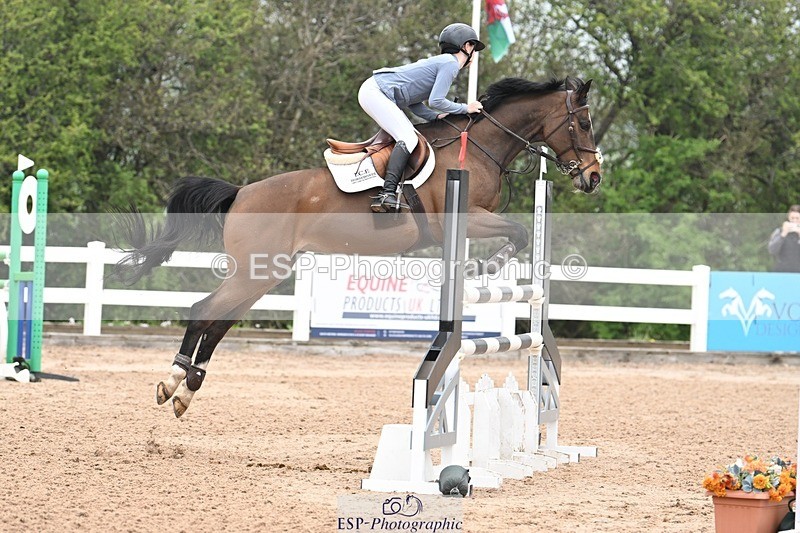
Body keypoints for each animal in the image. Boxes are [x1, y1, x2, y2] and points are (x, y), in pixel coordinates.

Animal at [116, 76, 604, 417]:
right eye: (582, 123)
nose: (593, 177)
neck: (481, 147)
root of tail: (240, 193)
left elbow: (519, 233)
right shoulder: (461, 218)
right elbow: (518, 233)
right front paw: (483, 268)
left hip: (263, 273)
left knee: (218, 321)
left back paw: (186, 390)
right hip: (258, 271)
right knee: (203, 311)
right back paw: (172, 382)